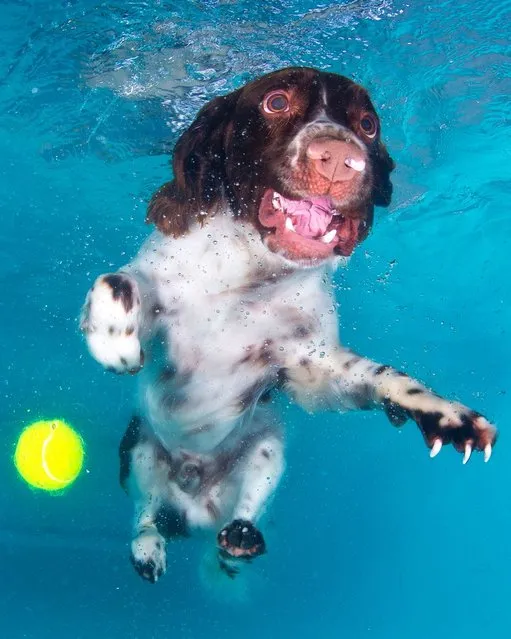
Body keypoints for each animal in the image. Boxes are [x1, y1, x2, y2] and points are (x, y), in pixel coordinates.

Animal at [80, 67, 496, 584]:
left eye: (368, 124)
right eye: (276, 102)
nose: (340, 160)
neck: (251, 277)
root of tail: (195, 502)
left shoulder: (309, 368)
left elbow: (386, 378)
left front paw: (445, 415)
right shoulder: (157, 284)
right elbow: (115, 281)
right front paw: (115, 344)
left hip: (268, 442)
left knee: (242, 509)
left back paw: (239, 539)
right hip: (138, 450)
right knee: (146, 513)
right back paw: (148, 550)